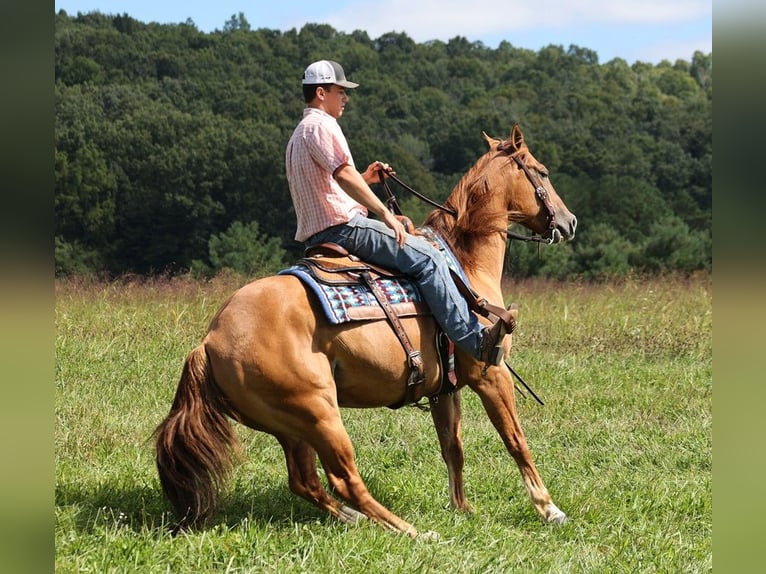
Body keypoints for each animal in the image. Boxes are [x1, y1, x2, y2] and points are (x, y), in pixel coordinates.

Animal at [154, 122, 576, 540]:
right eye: (541, 171)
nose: (569, 221)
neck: (464, 265)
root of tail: (210, 341)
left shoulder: (444, 389)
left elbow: (452, 447)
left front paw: (462, 508)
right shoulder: (491, 374)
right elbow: (515, 440)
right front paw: (549, 509)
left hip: (292, 427)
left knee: (306, 482)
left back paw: (355, 519)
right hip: (320, 415)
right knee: (345, 480)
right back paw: (411, 531)